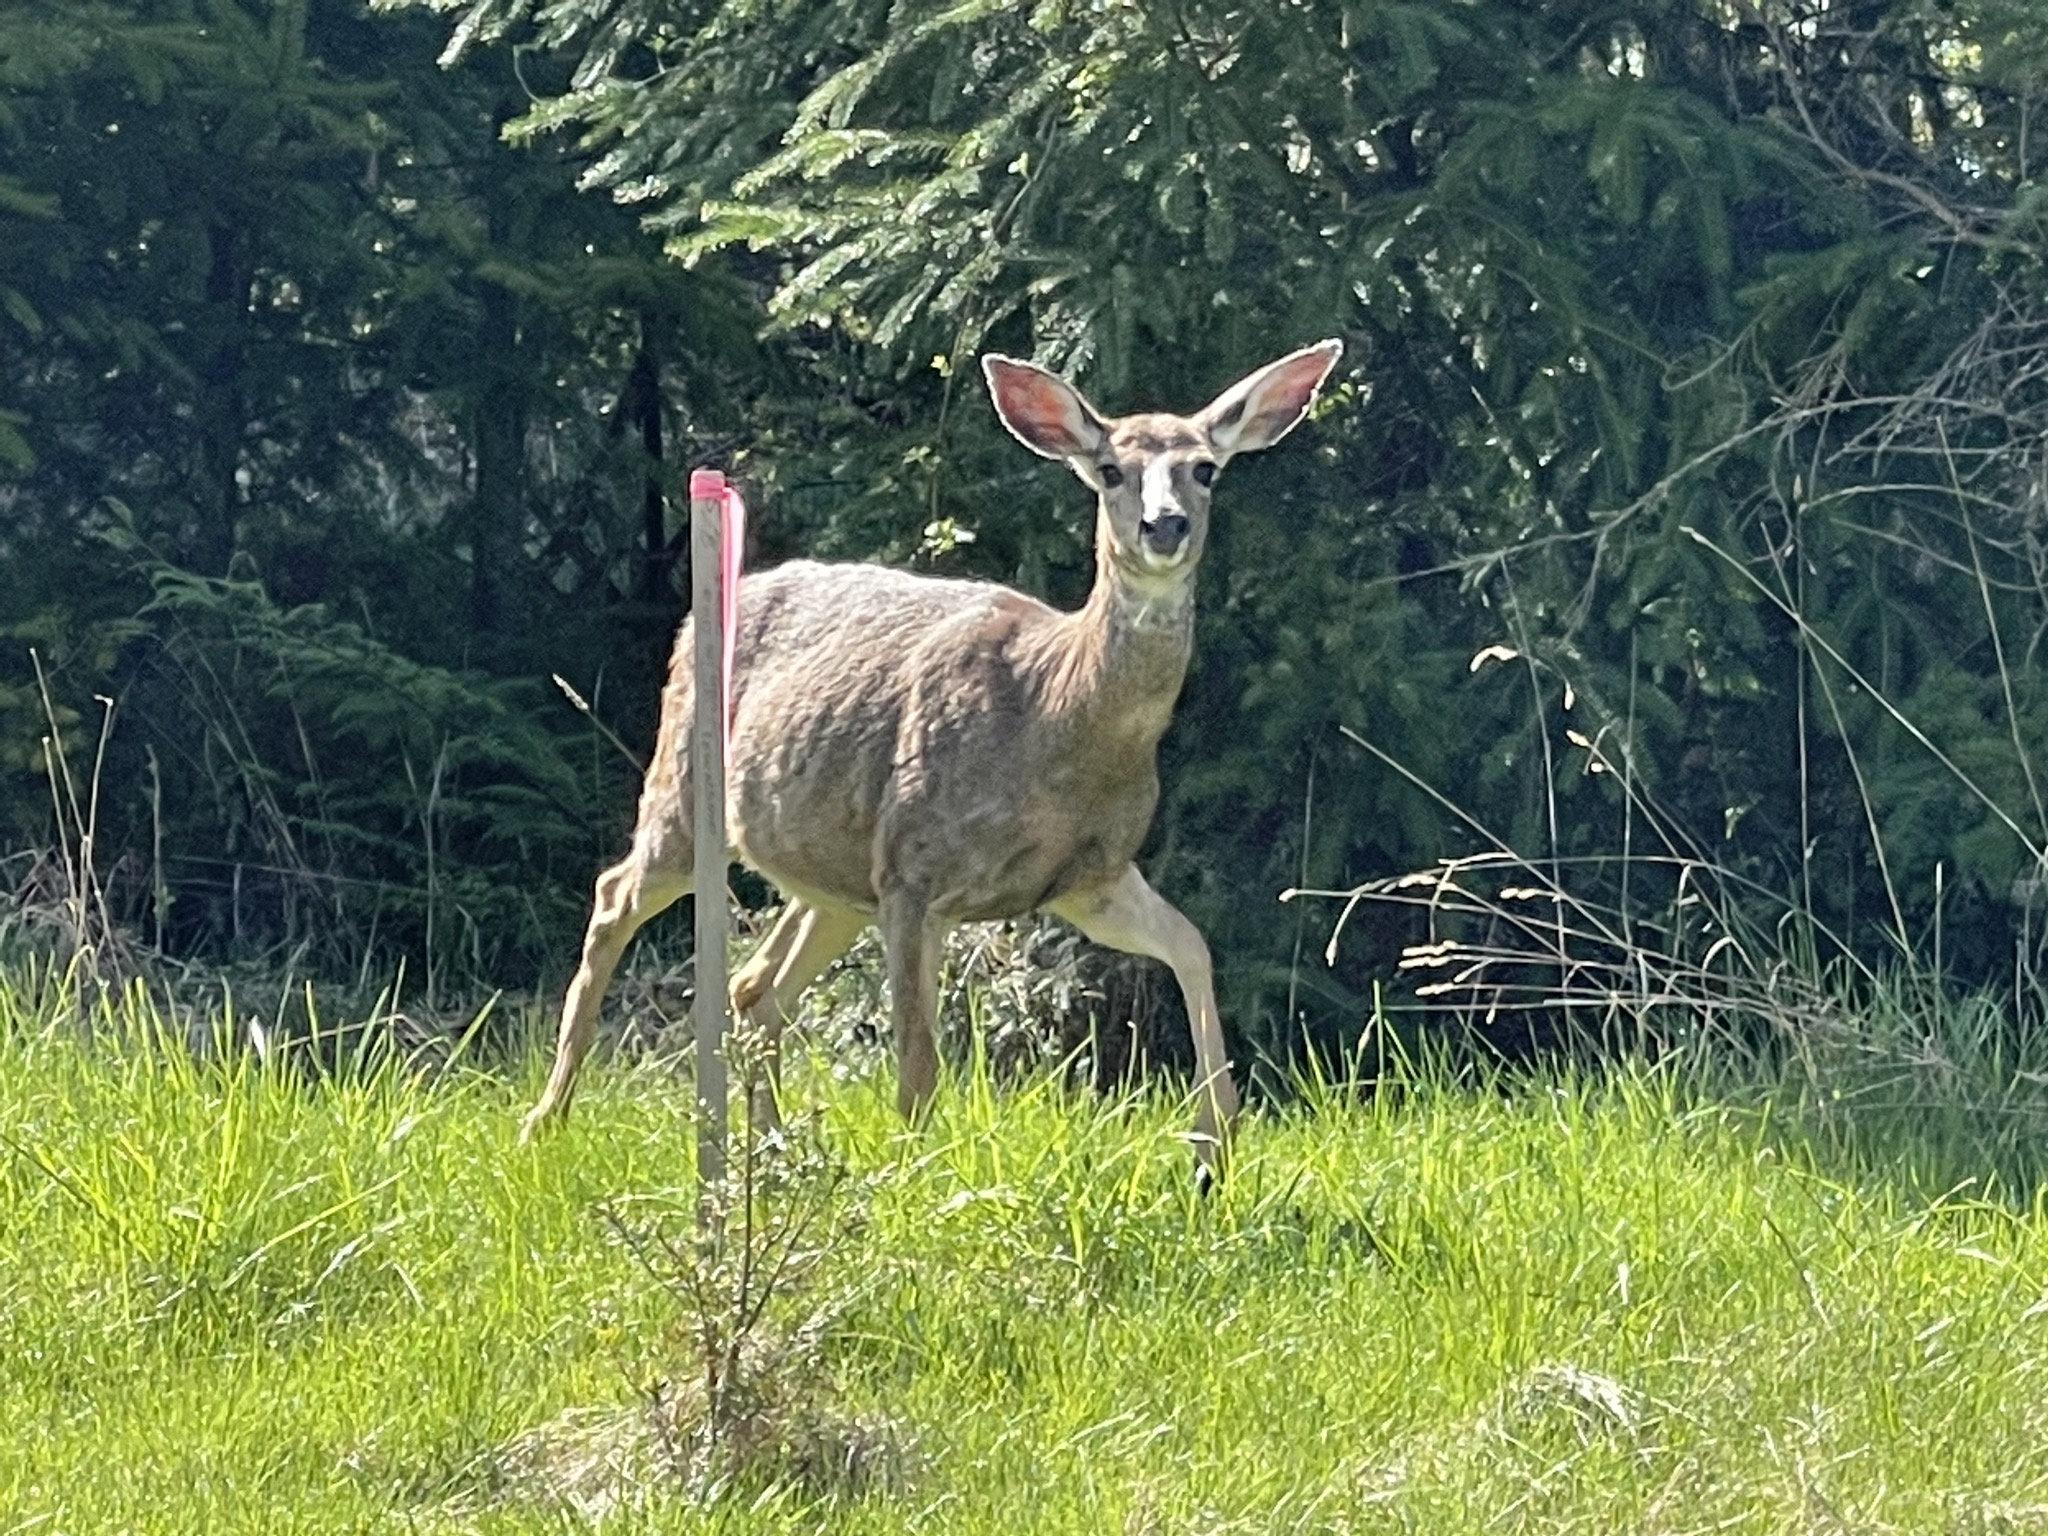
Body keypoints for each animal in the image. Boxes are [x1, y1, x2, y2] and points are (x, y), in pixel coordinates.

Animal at [520, 339, 1344, 1184]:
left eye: (1205, 468)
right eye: (1111, 469)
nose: (1165, 525)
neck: (1057, 715)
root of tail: (701, 616)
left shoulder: (1090, 877)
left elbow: (1193, 947)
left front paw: (1214, 1143)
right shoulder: (916, 868)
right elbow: (918, 1058)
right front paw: (913, 1179)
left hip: (833, 874)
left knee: (755, 987)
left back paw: (775, 1155)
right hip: (689, 790)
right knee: (616, 896)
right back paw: (547, 1120)